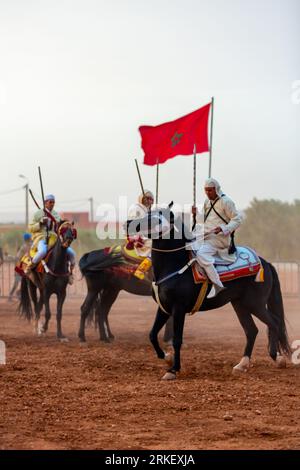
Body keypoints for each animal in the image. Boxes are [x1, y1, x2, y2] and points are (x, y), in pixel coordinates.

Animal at [127, 204, 292, 380]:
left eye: (155, 217)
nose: (128, 223)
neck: (175, 266)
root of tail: (265, 262)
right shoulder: (164, 308)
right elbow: (152, 334)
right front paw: (167, 358)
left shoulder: (178, 309)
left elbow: (177, 340)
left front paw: (173, 369)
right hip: (240, 304)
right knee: (252, 330)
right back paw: (242, 364)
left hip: (255, 304)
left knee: (274, 322)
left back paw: (277, 358)